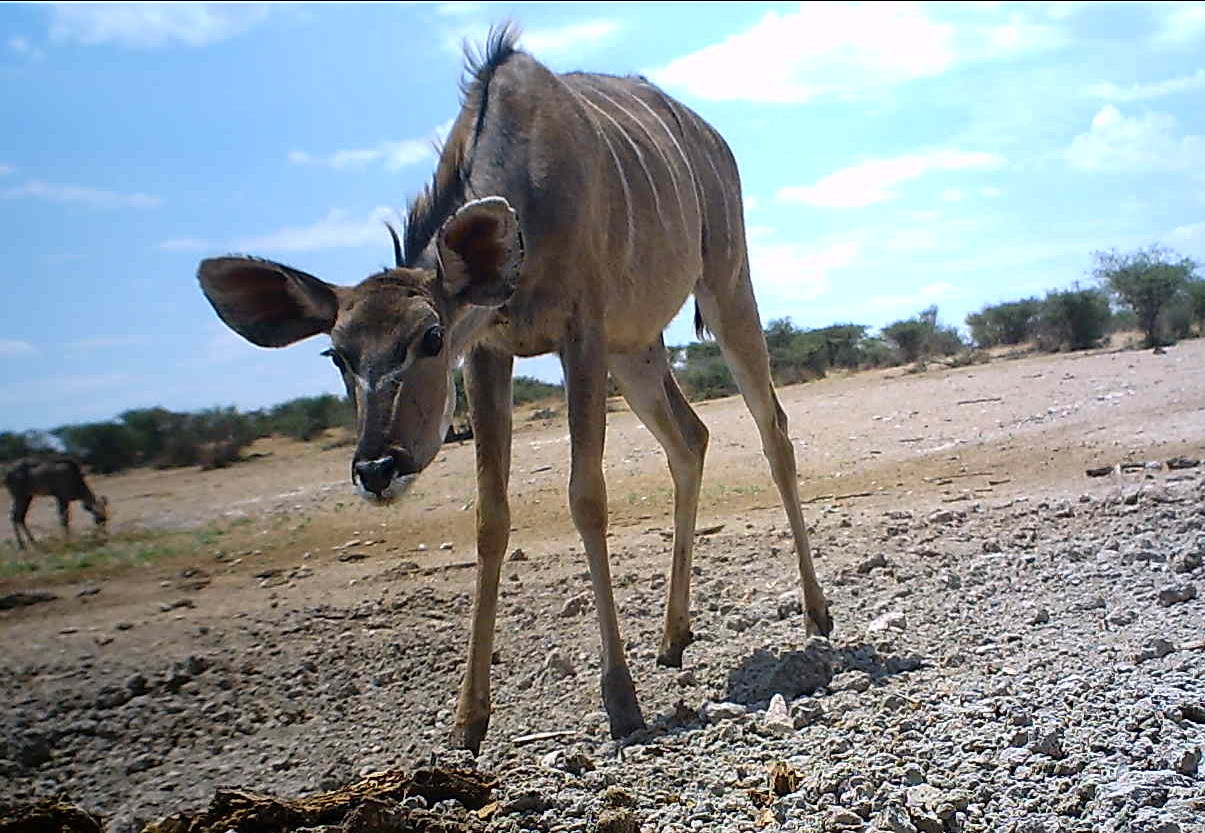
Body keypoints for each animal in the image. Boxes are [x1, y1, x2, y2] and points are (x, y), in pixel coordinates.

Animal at [197, 27, 829, 757]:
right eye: (336, 355)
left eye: (430, 337)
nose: (377, 467)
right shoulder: (491, 352)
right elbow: (489, 518)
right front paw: (467, 719)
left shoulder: (579, 334)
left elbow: (586, 497)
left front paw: (621, 701)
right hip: (637, 349)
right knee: (690, 439)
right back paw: (672, 637)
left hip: (725, 286)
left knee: (772, 428)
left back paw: (817, 615)